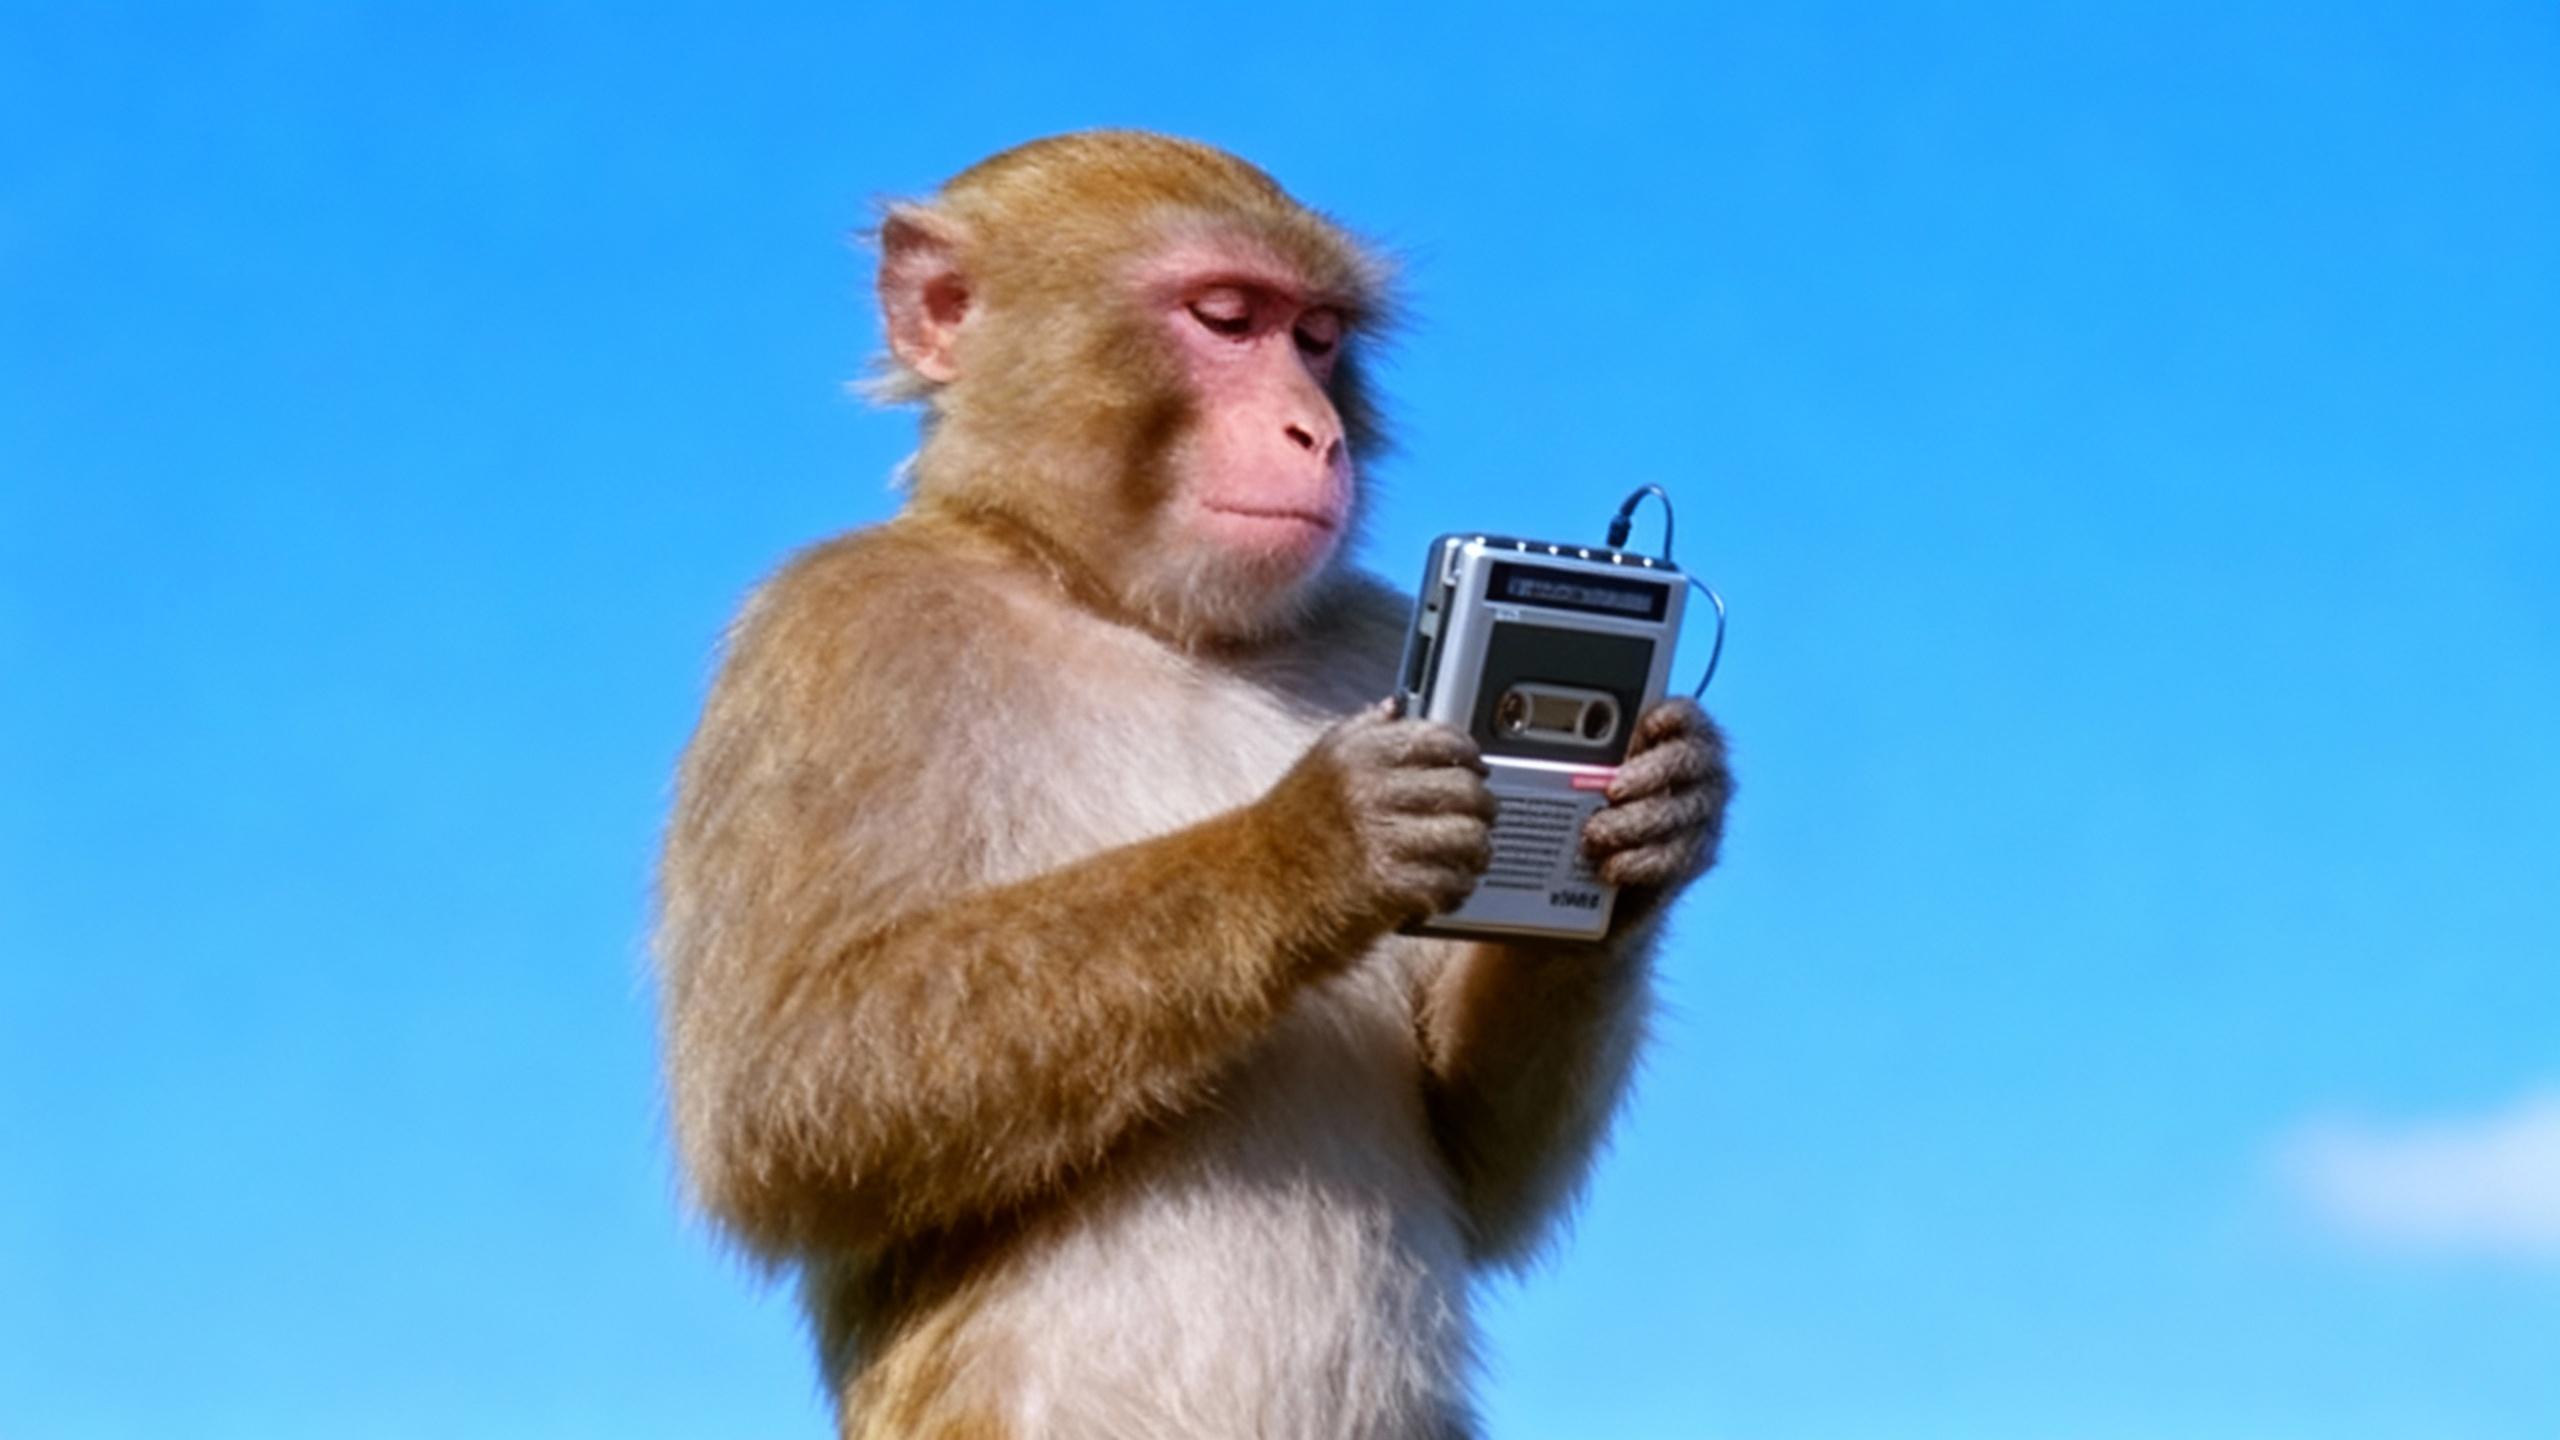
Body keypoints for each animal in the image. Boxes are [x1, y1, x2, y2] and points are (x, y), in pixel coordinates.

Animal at [656, 131, 1731, 1439]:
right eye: (1225, 319)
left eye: (1316, 337)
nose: (1312, 431)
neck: (1120, 601)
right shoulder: (827, 636)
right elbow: (778, 1095)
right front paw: (1316, 844)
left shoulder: (1365, 627)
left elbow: (1478, 1163)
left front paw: (1664, 814)